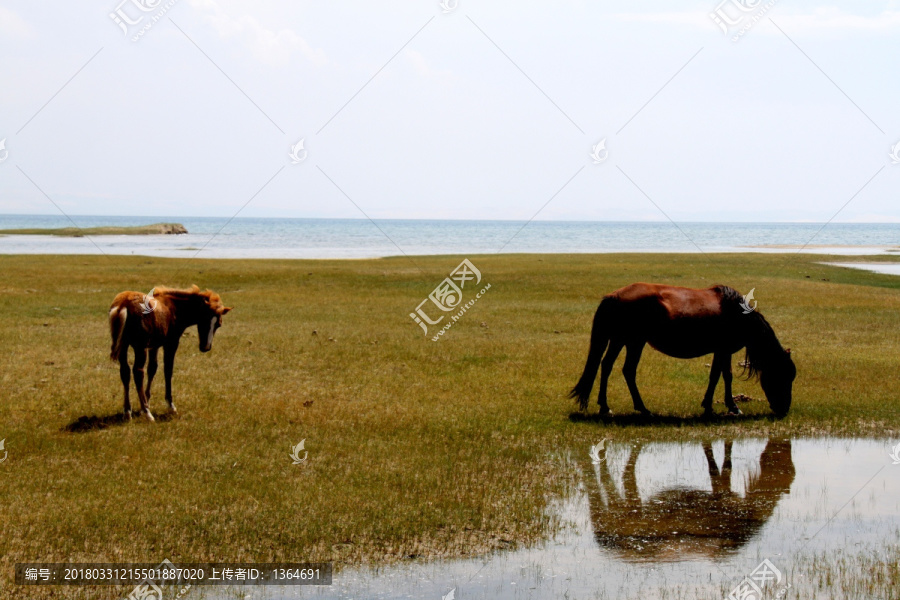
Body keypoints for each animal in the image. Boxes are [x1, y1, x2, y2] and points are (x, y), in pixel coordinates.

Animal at [108, 288, 232, 422]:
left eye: (218, 324)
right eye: (203, 319)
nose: (206, 347)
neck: (174, 308)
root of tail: (124, 303)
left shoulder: (154, 346)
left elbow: (152, 369)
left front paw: (146, 402)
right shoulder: (171, 343)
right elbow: (168, 371)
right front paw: (170, 406)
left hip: (123, 346)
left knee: (125, 372)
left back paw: (127, 411)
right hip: (140, 347)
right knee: (138, 372)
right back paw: (147, 413)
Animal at [568, 282, 796, 418]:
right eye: (783, 376)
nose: (784, 409)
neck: (738, 315)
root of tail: (614, 296)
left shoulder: (721, 351)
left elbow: (718, 375)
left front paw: (712, 405)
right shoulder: (724, 350)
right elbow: (724, 376)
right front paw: (729, 406)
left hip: (622, 340)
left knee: (608, 366)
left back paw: (608, 406)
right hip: (632, 341)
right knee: (625, 370)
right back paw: (638, 408)